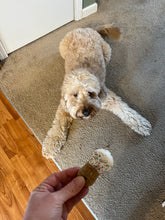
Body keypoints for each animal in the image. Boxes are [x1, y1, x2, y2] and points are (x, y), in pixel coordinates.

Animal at [42, 24, 151, 158]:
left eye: (90, 93)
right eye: (75, 95)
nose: (86, 112)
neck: (81, 68)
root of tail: (86, 29)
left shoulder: (109, 98)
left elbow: (128, 113)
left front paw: (141, 125)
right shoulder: (64, 108)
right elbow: (57, 126)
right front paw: (50, 145)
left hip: (107, 51)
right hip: (62, 48)